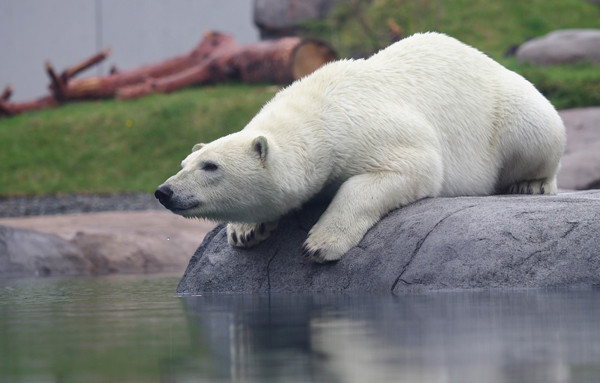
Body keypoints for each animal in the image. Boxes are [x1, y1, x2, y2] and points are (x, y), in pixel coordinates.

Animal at [155, 32, 568, 264]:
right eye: (186, 162)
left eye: (211, 166)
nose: (165, 191)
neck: (317, 110)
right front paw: (245, 230)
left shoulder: (370, 130)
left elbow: (406, 170)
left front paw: (321, 244)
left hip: (509, 109)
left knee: (535, 130)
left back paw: (531, 183)